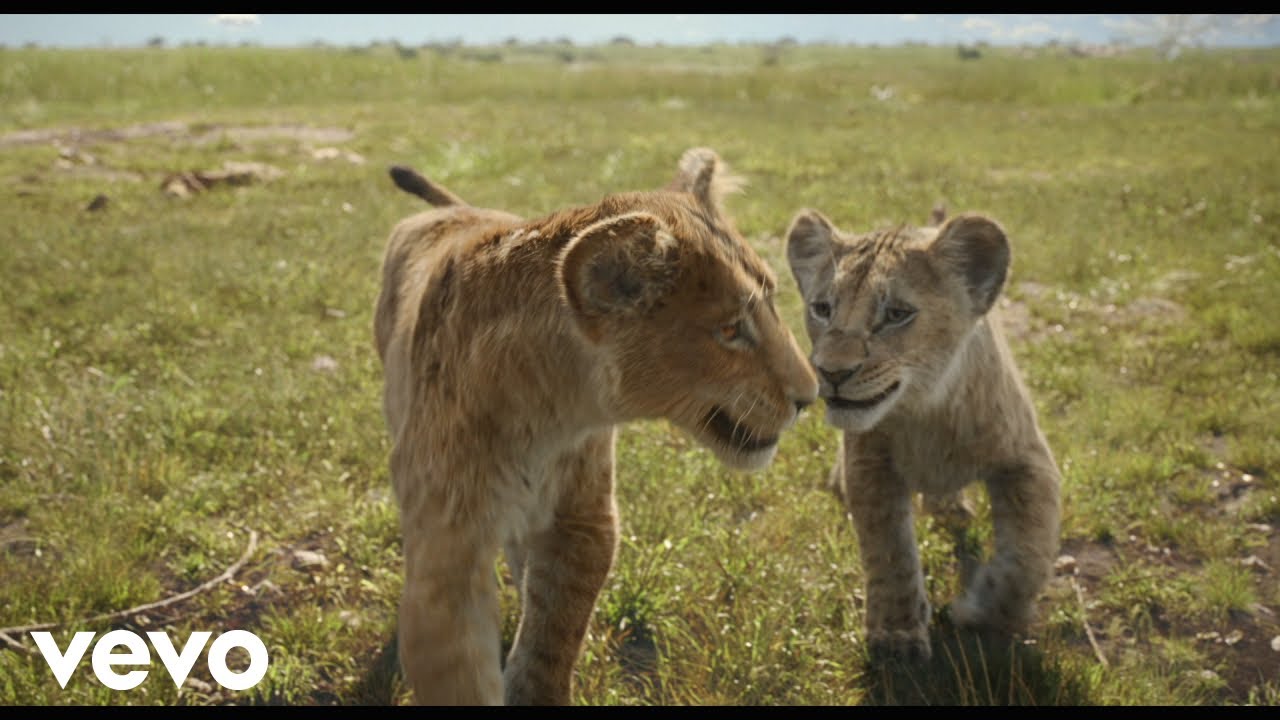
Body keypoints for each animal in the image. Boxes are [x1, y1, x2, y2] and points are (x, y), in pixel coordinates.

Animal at [375, 148, 818, 704]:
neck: (547, 415)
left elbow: (551, 639)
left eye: (774, 302)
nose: (809, 397)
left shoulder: (582, 518)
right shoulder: (446, 548)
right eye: (730, 330)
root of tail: (456, 210)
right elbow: (458, 670)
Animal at [784, 205, 1062, 661]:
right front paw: (896, 636)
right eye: (822, 308)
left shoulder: (1028, 459)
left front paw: (980, 611)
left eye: (897, 314)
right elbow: (890, 552)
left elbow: (1028, 555)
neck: (926, 409)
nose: (830, 372)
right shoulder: (869, 463)